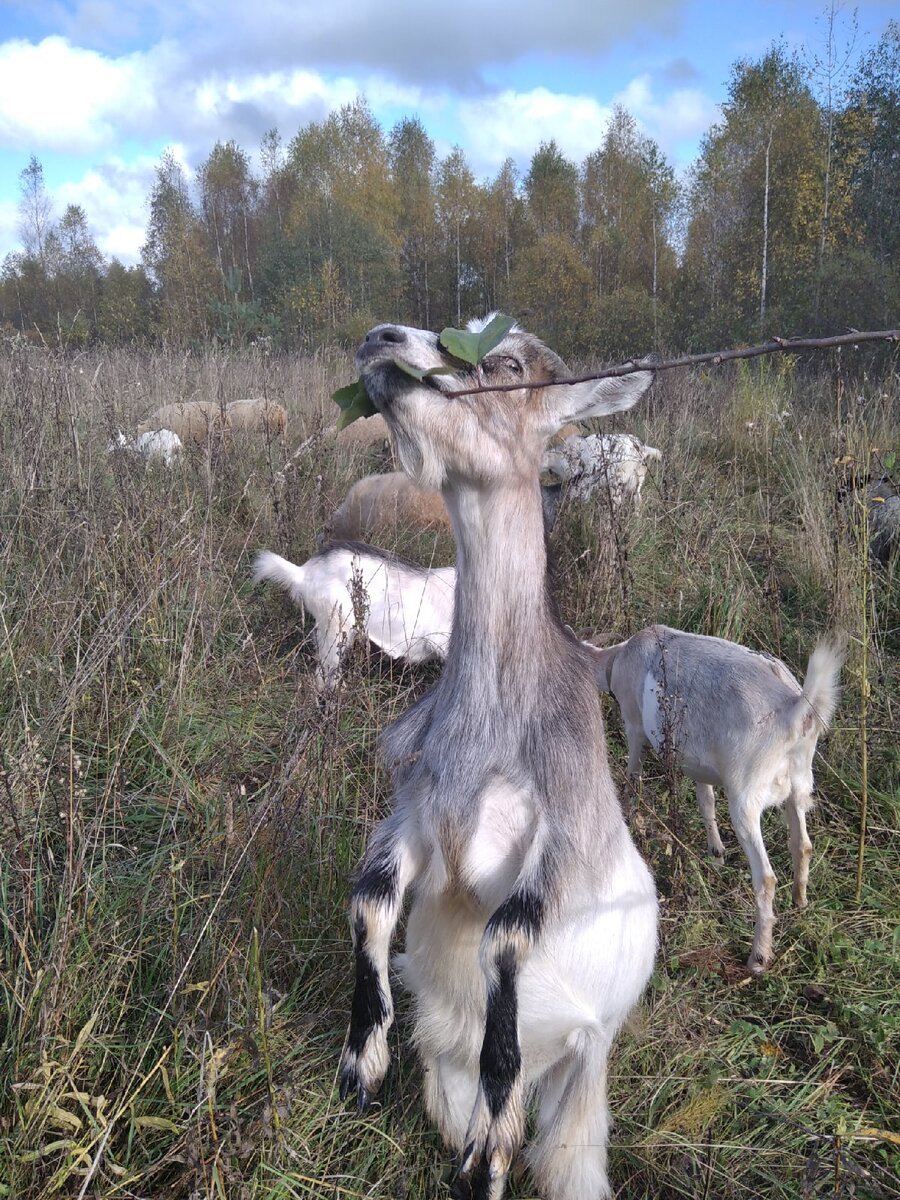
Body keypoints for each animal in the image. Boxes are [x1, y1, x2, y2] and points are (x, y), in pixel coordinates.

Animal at [588, 628, 849, 974]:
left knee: (766, 877)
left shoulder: (633, 723)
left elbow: (634, 773)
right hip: (800, 782)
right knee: (802, 844)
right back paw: (800, 902)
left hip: (746, 796)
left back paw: (758, 957)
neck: (617, 658)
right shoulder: (697, 763)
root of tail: (795, 708)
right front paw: (717, 853)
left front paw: (629, 817)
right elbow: (706, 801)